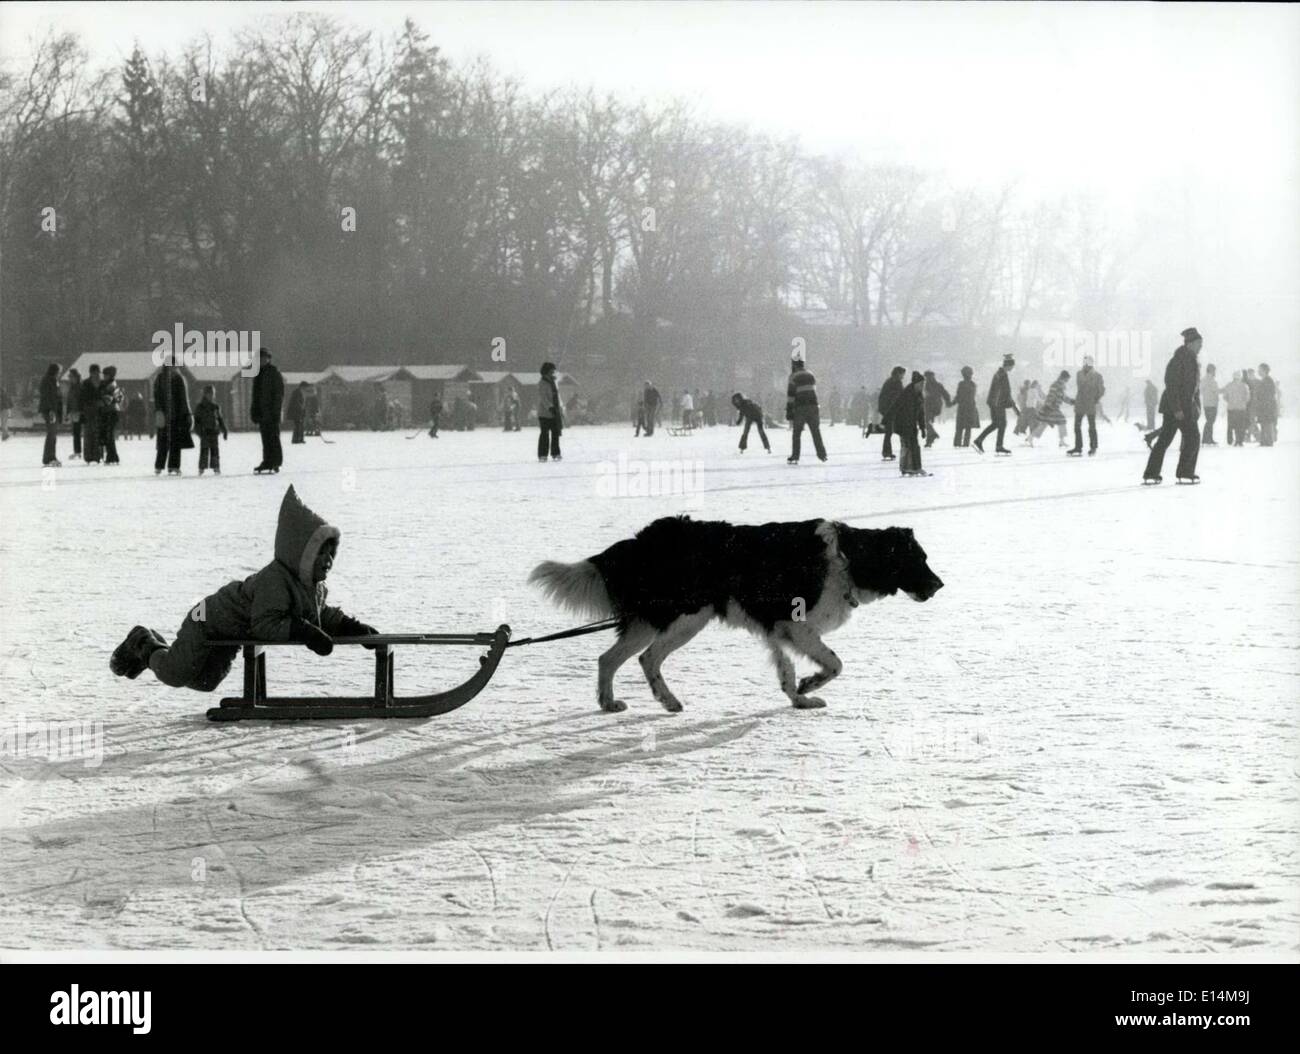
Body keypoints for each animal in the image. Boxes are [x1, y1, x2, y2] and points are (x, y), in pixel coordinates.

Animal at [527, 514, 946, 712]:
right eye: (919, 559)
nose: (940, 585)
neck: (848, 557)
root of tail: (646, 538)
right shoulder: (797, 626)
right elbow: (834, 664)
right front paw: (810, 686)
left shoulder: (778, 630)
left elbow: (786, 671)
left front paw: (799, 699)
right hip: (685, 617)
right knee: (647, 659)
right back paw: (667, 701)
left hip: (653, 619)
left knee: (608, 658)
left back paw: (610, 703)